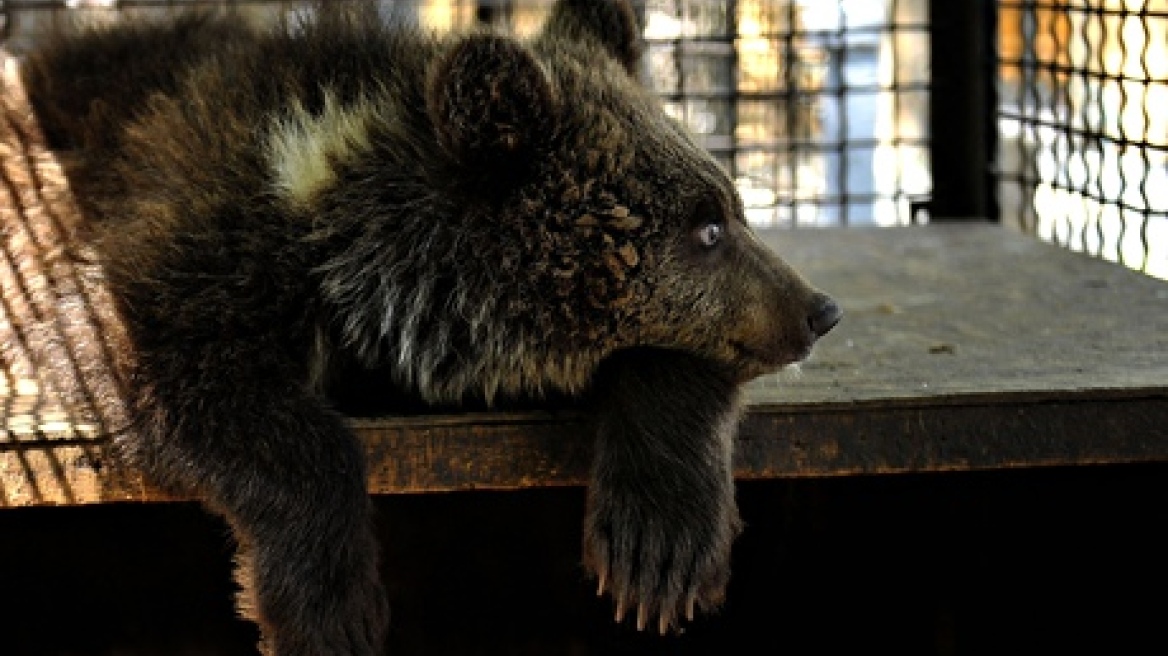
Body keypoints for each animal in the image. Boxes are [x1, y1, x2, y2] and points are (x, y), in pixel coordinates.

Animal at [20, 1, 840, 648]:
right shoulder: (196, 238)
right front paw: (327, 607)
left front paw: (658, 548)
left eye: (730, 207)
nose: (818, 310)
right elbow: (174, 363)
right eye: (706, 228)